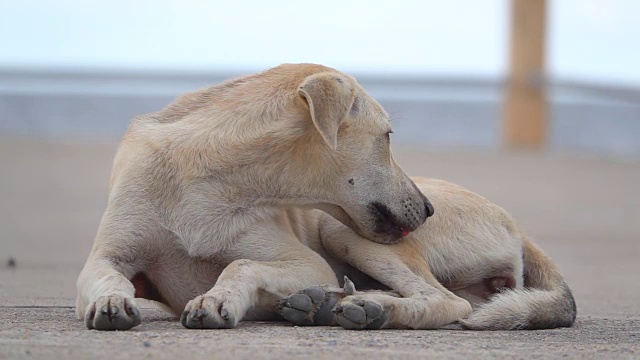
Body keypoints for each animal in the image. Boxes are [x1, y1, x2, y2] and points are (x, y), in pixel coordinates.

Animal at [75, 63, 576, 330]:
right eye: (388, 136)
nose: (428, 210)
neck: (204, 176)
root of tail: (518, 227)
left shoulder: (304, 261)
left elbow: (240, 264)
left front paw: (216, 300)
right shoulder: (107, 257)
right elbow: (106, 279)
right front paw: (113, 303)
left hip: (342, 228)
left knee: (450, 302)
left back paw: (373, 307)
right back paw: (323, 304)